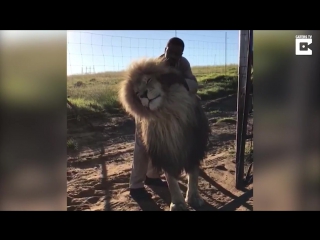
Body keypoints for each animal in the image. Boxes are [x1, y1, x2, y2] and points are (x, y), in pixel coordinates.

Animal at [119, 57, 211, 210]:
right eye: (137, 93)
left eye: (148, 80)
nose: (143, 95)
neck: (168, 112)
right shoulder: (164, 148)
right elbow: (171, 180)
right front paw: (178, 203)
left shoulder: (193, 145)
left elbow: (193, 174)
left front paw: (194, 198)